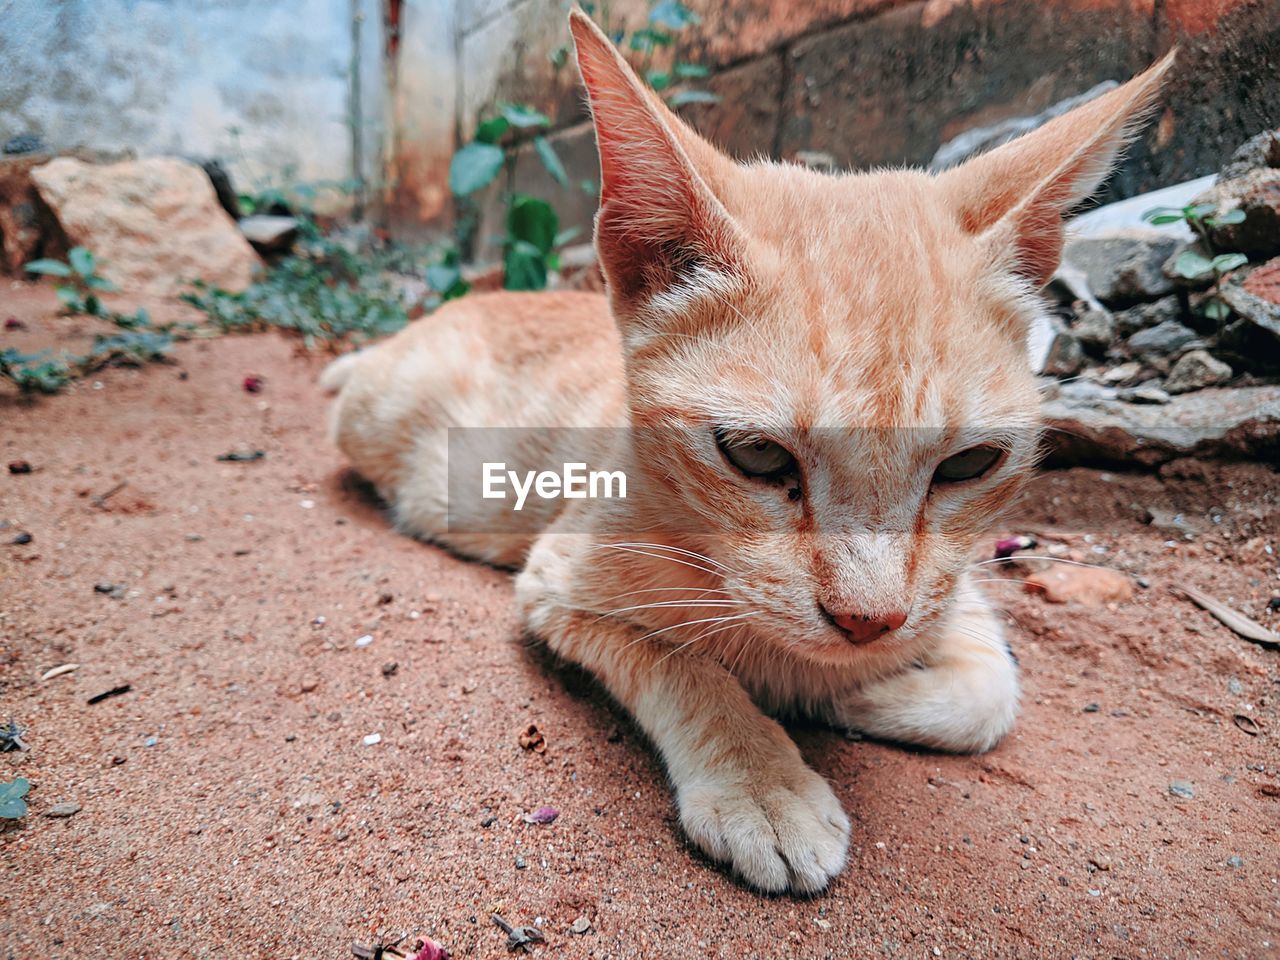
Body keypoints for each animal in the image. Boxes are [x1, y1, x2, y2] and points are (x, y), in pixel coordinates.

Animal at [325, 11, 1172, 901]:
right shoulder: (561, 580)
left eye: (968, 465)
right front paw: (764, 776)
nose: (866, 622)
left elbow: (988, 691)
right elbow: (683, 661)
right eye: (758, 456)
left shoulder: (952, 588)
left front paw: (847, 694)